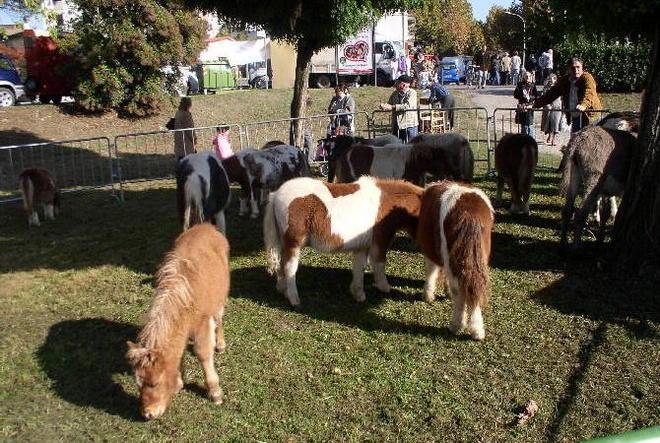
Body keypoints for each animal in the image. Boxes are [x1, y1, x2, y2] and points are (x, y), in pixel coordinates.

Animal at [126, 224, 230, 420]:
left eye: (154, 383)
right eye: (137, 383)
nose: (148, 413)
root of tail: (206, 226)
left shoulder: (202, 322)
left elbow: (203, 353)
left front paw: (215, 392)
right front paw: (179, 381)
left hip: (221, 295)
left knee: (219, 317)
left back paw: (220, 343)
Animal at [263, 176, 422, 308]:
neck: (387, 203)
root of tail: (276, 194)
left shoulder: (361, 246)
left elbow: (359, 267)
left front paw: (358, 293)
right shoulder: (380, 241)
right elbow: (379, 264)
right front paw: (384, 287)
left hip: (284, 243)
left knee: (282, 264)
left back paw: (282, 290)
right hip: (294, 243)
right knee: (289, 267)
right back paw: (294, 299)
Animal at [416, 181, 494, 341]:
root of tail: (469, 213)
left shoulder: (431, 253)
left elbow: (431, 272)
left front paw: (428, 295)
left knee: (460, 291)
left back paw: (456, 325)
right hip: (478, 259)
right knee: (474, 287)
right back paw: (477, 331)